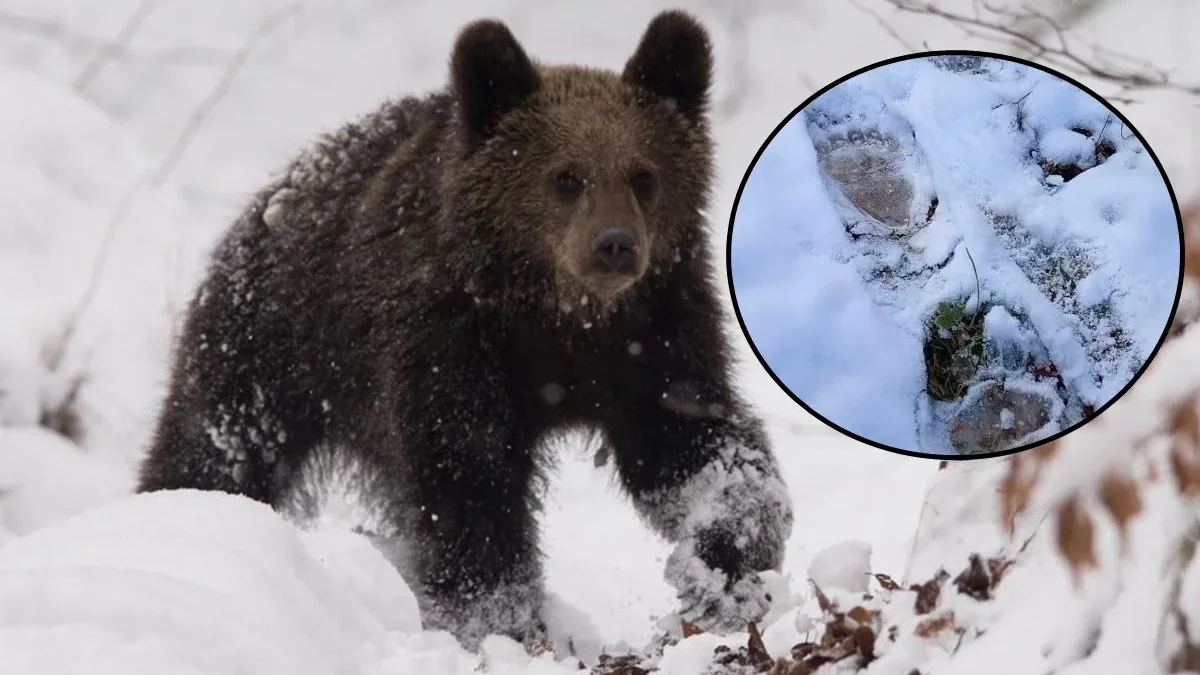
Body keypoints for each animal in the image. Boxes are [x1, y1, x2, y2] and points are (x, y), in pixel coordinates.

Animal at [138, 9, 796, 648]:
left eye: (644, 175)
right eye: (565, 177)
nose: (615, 245)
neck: (557, 316)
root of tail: (277, 189)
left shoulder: (654, 337)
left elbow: (696, 445)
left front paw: (721, 572)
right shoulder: (448, 340)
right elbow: (465, 481)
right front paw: (500, 623)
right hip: (273, 340)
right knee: (216, 445)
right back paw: (176, 511)